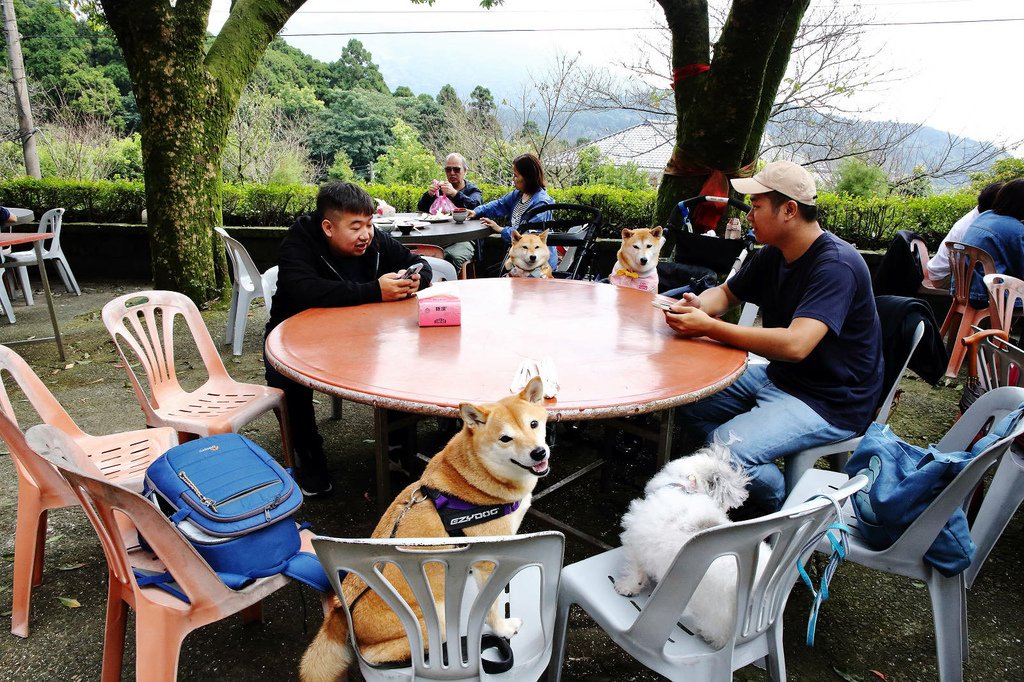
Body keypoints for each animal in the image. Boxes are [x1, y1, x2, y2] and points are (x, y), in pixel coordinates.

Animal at [610, 440, 765, 647]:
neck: (683, 487)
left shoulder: (637, 545)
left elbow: (635, 571)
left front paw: (626, 588)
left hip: (717, 605)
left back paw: (710, 635)